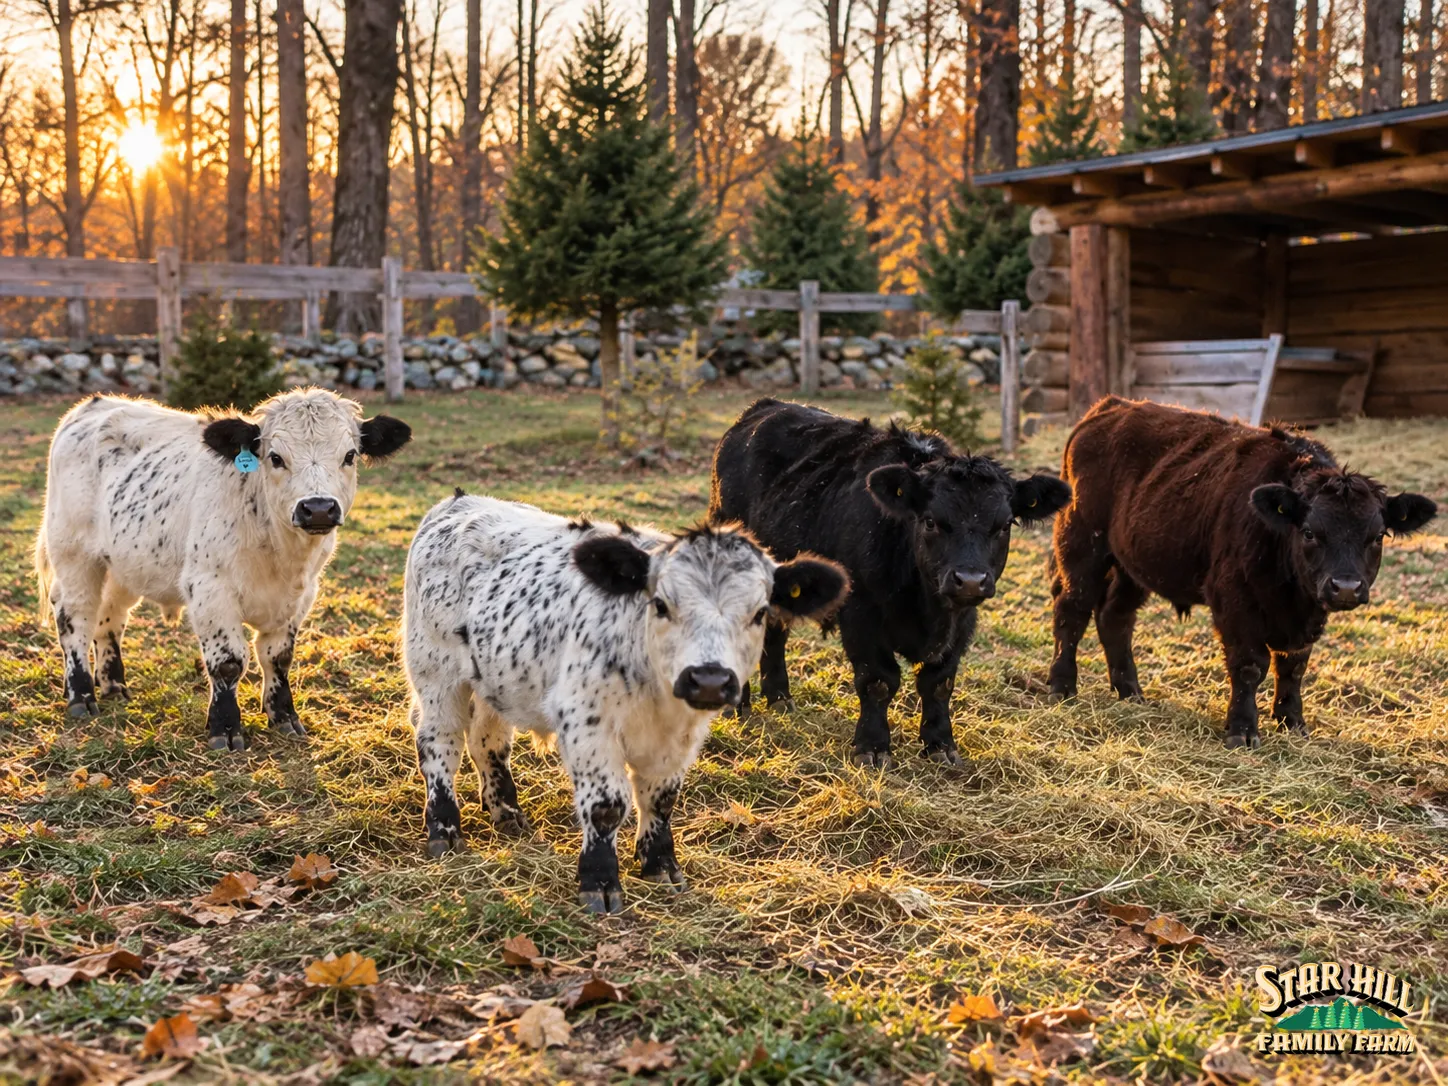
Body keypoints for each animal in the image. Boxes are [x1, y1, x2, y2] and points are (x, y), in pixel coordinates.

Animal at [36, 390, 412, 750]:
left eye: (350, 455)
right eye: (275, 457)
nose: (317, 508)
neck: (280, 554)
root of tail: (92, 405)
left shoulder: (300, 595)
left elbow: (278, 657)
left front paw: (284, 717)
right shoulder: (210, 590)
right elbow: (229, 662)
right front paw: (226, 729)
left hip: (122, 563)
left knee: (110, 618)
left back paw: (114, 684)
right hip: (74, 555)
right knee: (75, 618)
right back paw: (81, 696)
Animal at [402, 492, 847, 913]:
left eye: (759, 613)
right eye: (661, 604)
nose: (708, 680)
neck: (658, 695)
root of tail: (459, 502)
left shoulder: (681, 737)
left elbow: (662, 799)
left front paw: (660, 866)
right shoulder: (587, 724)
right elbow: (606, 806)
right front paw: (599, 882)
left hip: (494, 676)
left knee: (488, 741)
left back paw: (507, 813)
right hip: (435, 672)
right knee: (440, 744)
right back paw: (444, 829)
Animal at [709, 399, 1072, 767]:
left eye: (1005, 524)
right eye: (930, 521)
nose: (970, 580)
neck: (926, 608)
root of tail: (764, 408)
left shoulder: (962, 622)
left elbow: (939, 682)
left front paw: (940, 744)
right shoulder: (861, 613)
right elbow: (879, 680)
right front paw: (872, 746)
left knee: (774, 631)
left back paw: (780, 697)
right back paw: (738, 706)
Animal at [1048, 397, 1438, 748]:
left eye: (1378, 536)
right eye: (1310, 532)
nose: (1345, 587)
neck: (1292, 598)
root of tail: (1110, 407)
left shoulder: (1306, 618)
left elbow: (1294, 667)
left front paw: (1293, 723)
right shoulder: (1234, 601)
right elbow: (1250, 665)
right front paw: (1243, 730)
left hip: (1132, 564)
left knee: (1115, 618)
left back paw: (1131, 692)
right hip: (1082, 546)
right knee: (1072, 611)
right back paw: (1062, 686)